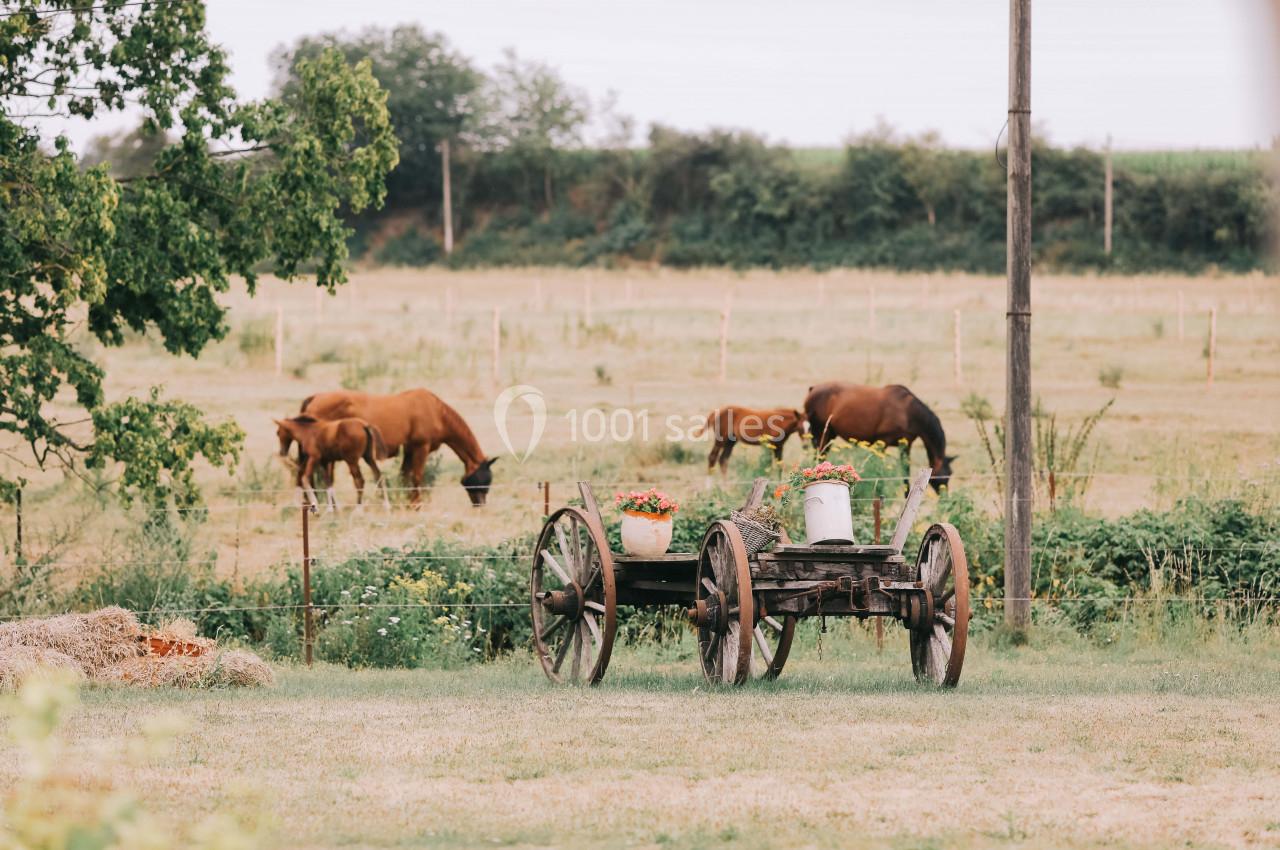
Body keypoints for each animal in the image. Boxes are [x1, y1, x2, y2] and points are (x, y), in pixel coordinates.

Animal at [299, 388, 497, 506]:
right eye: (484, 480)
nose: (480, 505)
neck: (436, 412)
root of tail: (315, 398)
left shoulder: (409, 451)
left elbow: (404, 475)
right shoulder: (421, 448)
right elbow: (416, 476)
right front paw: (415, 504)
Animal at [803, 383, 955, 491]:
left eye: (950, 474)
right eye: (941, 477)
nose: (944, 497)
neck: (907, 412)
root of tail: (813, 389)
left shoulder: (905, 446)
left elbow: (905, 474)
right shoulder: (882, 443)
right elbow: (880, 474)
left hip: (829, 434)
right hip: (821, 434)